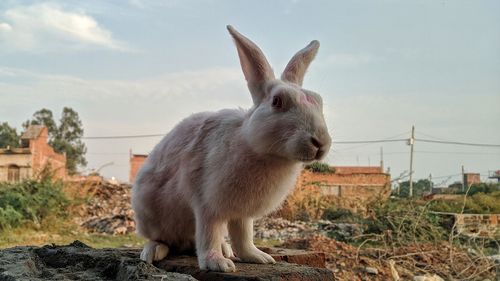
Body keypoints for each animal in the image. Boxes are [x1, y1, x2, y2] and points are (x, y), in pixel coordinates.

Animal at [131, 24, 330, 272]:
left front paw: (258, 257)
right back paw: (153, 251)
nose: (320, 143)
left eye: (319, 101)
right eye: (277, 101)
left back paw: (226, 249)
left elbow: (243, 237)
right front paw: (217, 264)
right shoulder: (207, 204)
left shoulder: (242, 214)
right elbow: (209, 234)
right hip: (149, 215)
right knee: (161, 238)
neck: (255, 147)